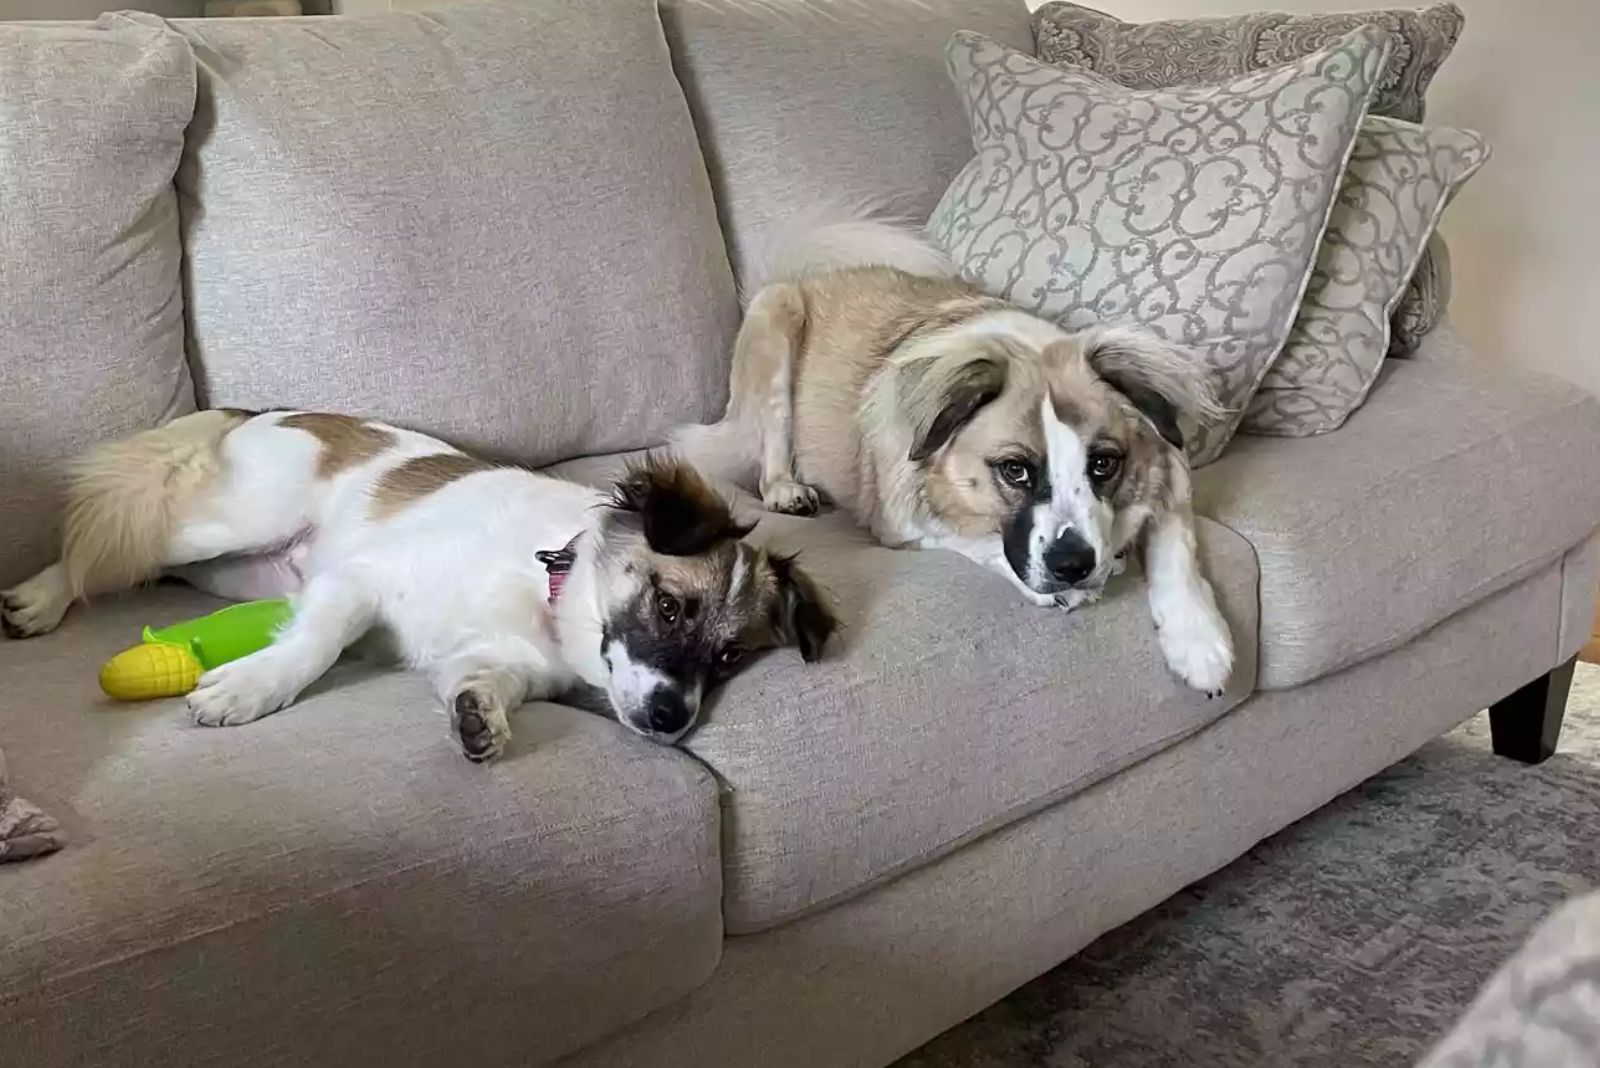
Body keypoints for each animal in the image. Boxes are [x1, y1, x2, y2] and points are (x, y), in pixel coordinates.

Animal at [6, 412, 838, 764]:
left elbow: (478, 682)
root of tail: (264, 409)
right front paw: (249, 688)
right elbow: (313, 645)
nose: (673, 721)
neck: (548, 592)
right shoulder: (359, 582)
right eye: (668, 606)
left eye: (730, 658)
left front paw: (480, 720)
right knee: (109, 544)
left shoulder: (491, 658)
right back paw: (40, 599)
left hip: (226, 566)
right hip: (225, 525)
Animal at [675, 212, 1235, 697]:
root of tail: (804, 278)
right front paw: (1057, 588)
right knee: (770, 452)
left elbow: (1177, 550)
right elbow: (980, 543)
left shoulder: (1168, 474)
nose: (1074, 565)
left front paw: (1199, 642)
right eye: (1014, 470)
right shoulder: (902, 522)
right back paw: (787, 489)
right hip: (777, 321)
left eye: (1104, 463)